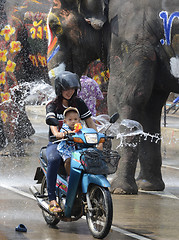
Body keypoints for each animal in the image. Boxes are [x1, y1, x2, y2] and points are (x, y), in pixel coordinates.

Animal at [47, 0, 179, 194]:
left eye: (54, 26)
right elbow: (150, 107)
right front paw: (148, 187)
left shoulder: (130, 39)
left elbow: (123, 99)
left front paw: (120, 190)